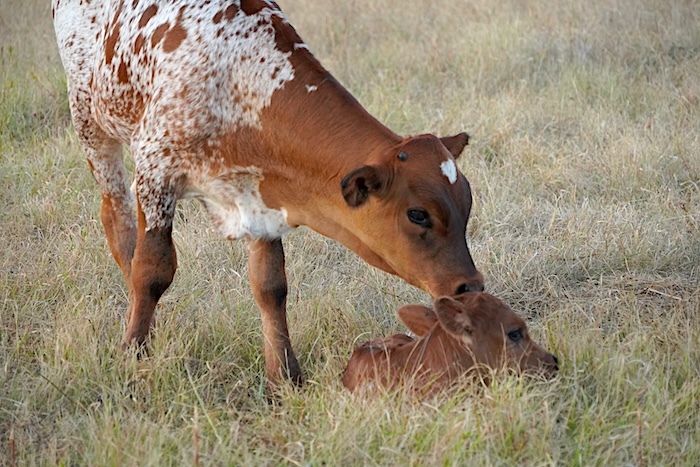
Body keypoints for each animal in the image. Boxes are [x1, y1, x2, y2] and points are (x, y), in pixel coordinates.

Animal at [52, 0, 484, 387]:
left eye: (467, 205)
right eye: (417, 214)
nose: (470, 287)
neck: (239, 79)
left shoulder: (260, 199)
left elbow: (271, 286)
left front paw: (284, 376)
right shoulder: (155, 170)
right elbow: (152, 270)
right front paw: (134, 353)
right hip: (89, 117)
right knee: (117, 219)